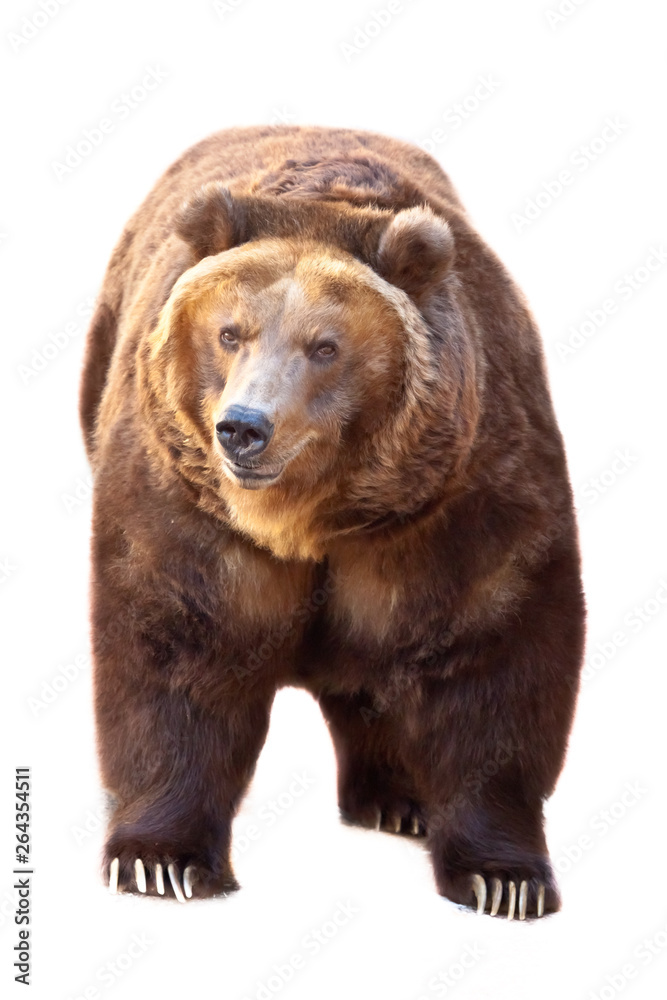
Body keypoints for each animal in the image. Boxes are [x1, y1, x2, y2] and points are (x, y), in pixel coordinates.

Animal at [80, 124, 585, 919]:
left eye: (324, 346)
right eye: (231, 332)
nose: (243, 428)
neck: (314, 518)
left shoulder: (461, 495)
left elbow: (494, 653)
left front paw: (504, 878)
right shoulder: (185, 501)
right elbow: (177, 642)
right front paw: (160, 861)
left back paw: (398, 801)